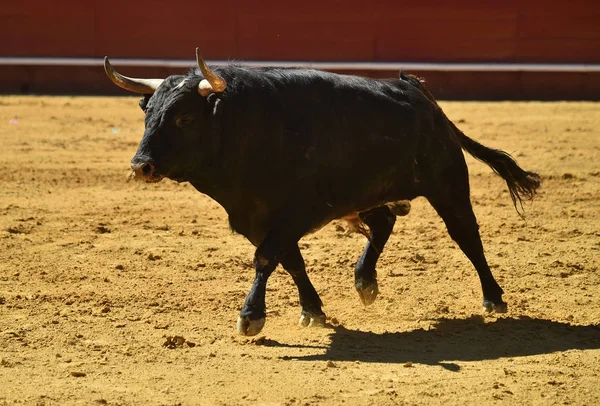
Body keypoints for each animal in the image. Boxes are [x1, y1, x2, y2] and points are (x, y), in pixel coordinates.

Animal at [105, 51, 540, 336]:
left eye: (184, 118)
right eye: (148, 113)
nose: (140, 165)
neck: (243, 128)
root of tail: (420, 94)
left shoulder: (292, 213)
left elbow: (266, 258)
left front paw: (251, 316)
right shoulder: (258, 218)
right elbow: (290, 262)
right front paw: (312, 311)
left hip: (447, 184)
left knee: (466, 235)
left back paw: (493, 298)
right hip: (368, 192)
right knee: (383, 223)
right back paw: (365, 282)